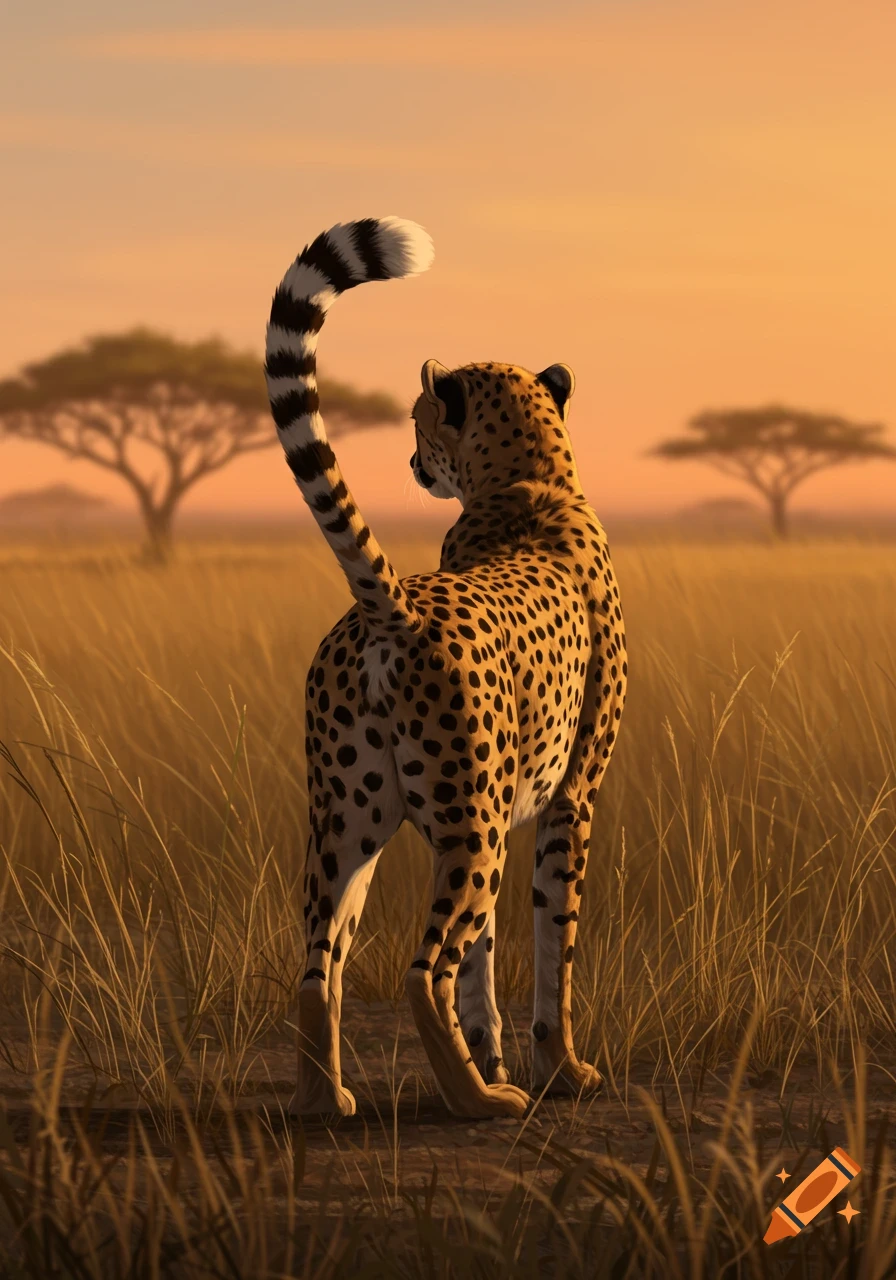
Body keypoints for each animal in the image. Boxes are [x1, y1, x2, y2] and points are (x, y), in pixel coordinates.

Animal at [264, 216, 626, 1120]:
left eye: (418, 419)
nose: (410, 465)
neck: (527, 483)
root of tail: (390, 607)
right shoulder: (571, 798)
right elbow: (552, 949)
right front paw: (560, 1070)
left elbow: (487, 959)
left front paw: (494, 1054)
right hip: (473, 826)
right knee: (421, 971)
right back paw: (478, 1103)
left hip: (349, 822)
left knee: (319, 967)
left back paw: (329, 1100)